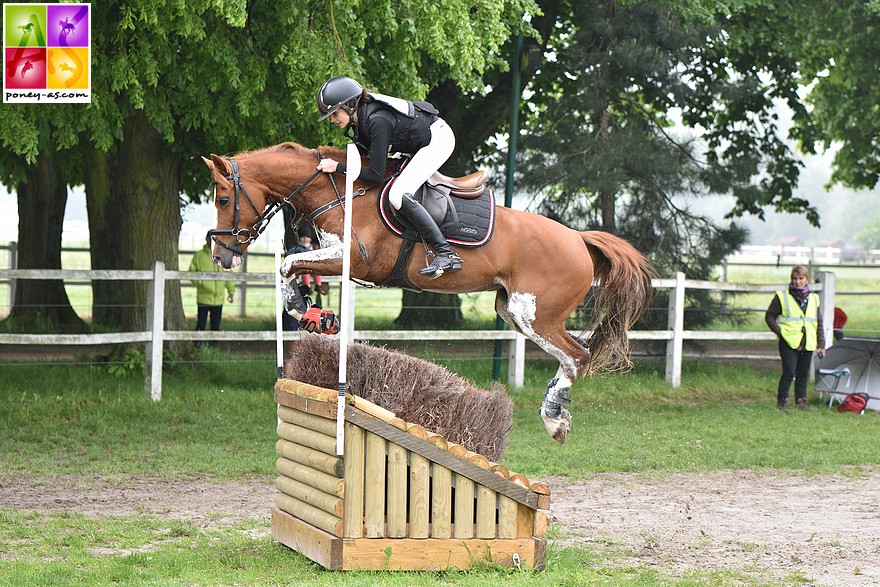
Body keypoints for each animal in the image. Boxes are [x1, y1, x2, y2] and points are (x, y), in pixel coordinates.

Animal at [203, 144, 648, 446]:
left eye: (224, 199)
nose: (222, 256)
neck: (340, 192)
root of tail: (579, 239)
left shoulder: (354, 259)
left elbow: (288, 264)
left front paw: (301, 307)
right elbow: (292, 263)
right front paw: (312, 313)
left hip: (535, 314)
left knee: (578, 356)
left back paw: (554, 418)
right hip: (513, 311)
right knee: (571, 355)